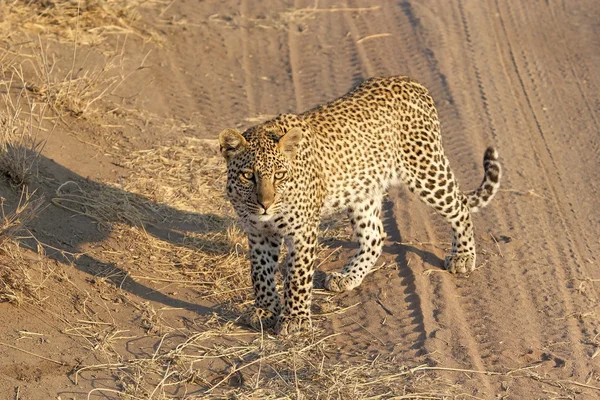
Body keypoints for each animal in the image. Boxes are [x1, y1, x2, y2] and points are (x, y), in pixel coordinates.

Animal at [218, 75, 500, 334]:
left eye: (279, 175)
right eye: (248, 175)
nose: (265, 204)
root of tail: (411, 81)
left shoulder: (302, 232)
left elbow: (297, 276)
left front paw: (294, 319)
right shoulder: (257, 232)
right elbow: (260, 273)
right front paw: (265, 309)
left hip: (426, 170)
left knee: (460, 206)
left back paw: (463, 256)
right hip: (363, 191)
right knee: (375, 235)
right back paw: (348, 276)